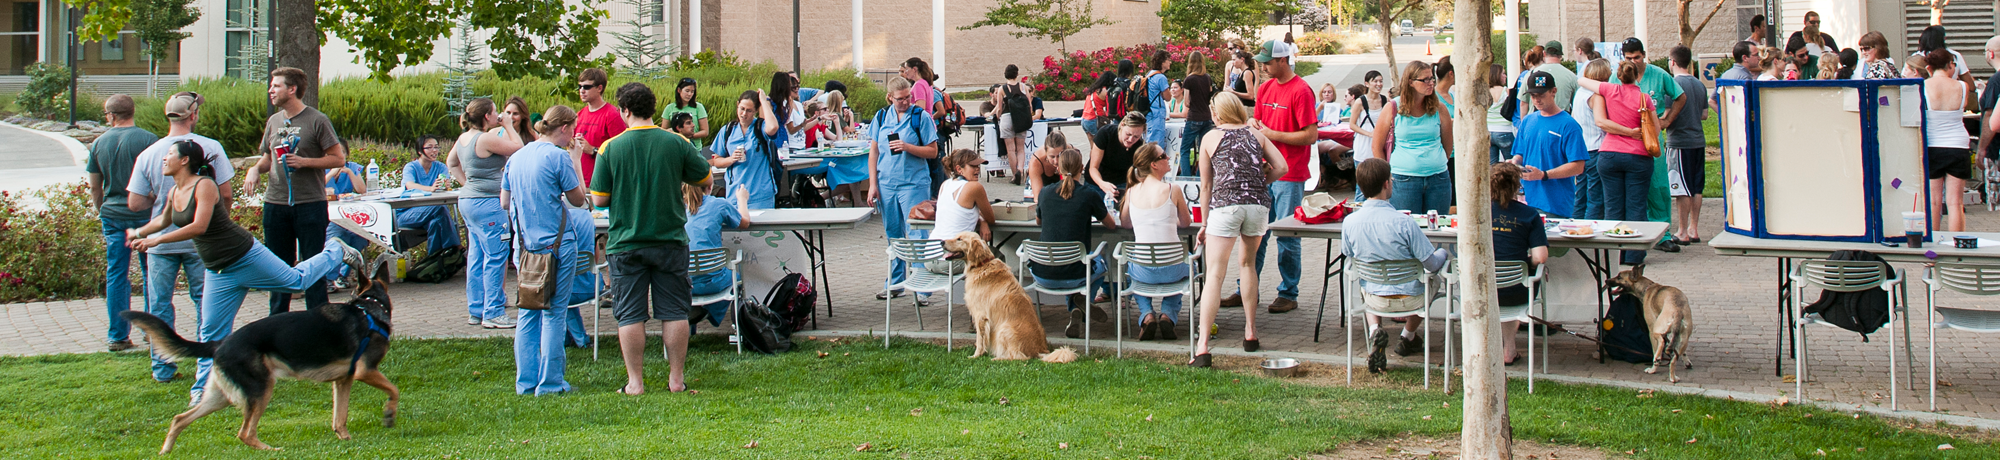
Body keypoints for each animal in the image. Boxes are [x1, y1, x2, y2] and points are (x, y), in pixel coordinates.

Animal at [122, 258, 398, 452]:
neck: (369, 307)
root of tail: (219, 344)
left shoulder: (343, 381)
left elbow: (339, 418)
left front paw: (347, 439)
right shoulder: (365, 371)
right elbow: (394, 390)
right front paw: (389, 415)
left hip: (219, 397)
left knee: (179, 419)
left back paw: (165, 451)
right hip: (261, 389)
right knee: (245, 433)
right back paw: (272, 450)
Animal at [940, 234, 1080, 362]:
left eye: (959, 239)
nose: (941, 241)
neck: (981, 264)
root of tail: (1039, 350)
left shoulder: (981, 316)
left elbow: (980, 340)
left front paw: (975, 356)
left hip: (1004, 329)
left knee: (1019, 357)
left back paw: (998, 359)